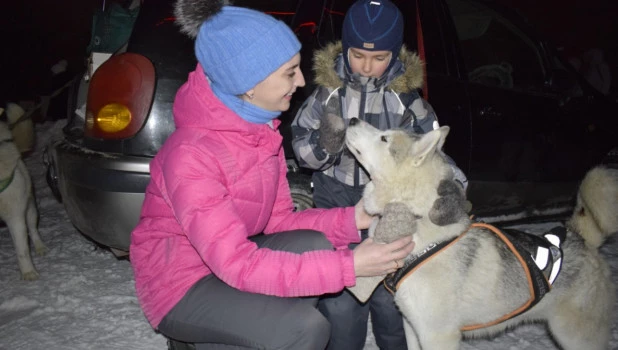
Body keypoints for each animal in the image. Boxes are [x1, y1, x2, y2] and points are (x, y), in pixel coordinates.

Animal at [0, 105, 46, 280]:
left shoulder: (15, 217)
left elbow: (22, 250)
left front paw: (28, 272)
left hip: (30, 210)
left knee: (33, 230)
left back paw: (40, 247)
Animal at [344, 118, 612, 350]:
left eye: (384, 138)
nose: (353, 119)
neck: (416, 218)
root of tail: (580, 236)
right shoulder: (411, 327)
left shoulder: (438, 336)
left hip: (574, 336)